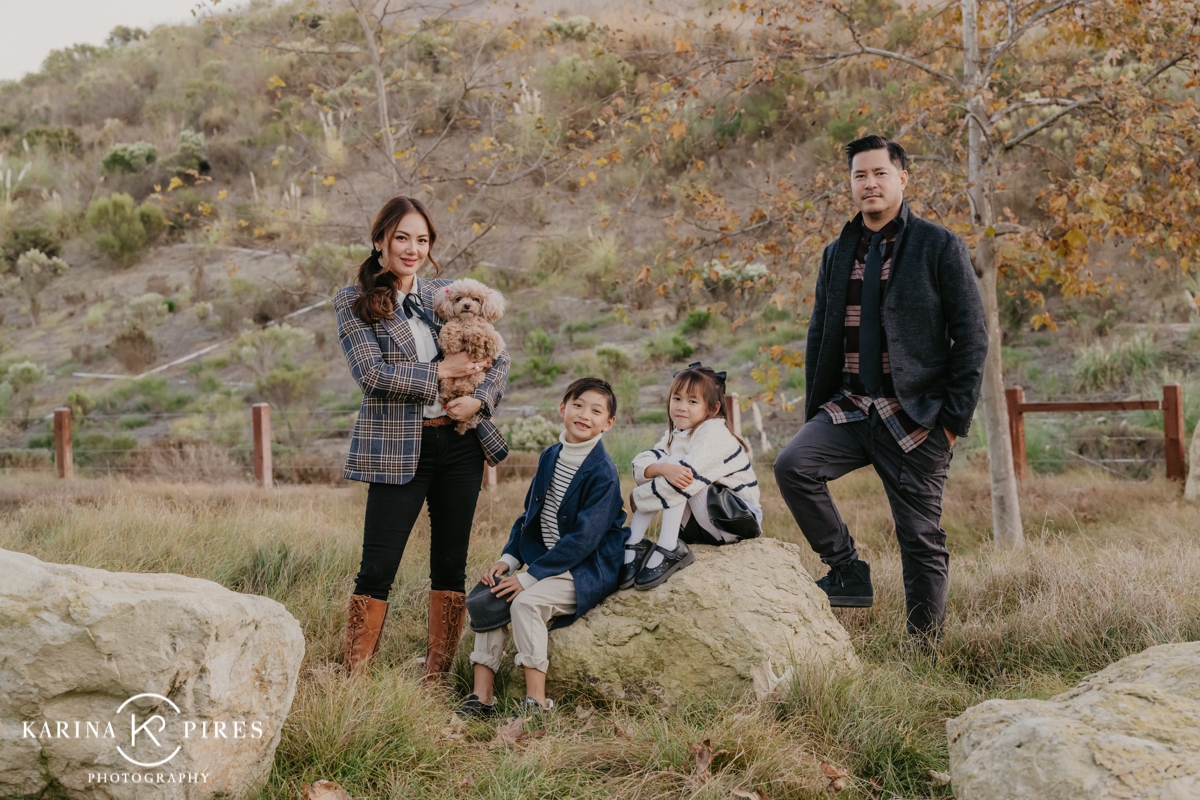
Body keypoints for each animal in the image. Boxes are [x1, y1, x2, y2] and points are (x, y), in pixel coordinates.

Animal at [432, 280, 506, 434]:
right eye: (459, 298)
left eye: (475, 299)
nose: (466, 305)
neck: (467, 321)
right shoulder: (448, 333)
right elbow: (450, 330)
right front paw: (454, 338)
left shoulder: (495, 342)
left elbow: (482, 333)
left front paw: (475, 338)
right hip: (447, 379)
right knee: (449, 392)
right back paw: (448, 395)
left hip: (478, 375)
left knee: (469, 387)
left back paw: (460, 390)